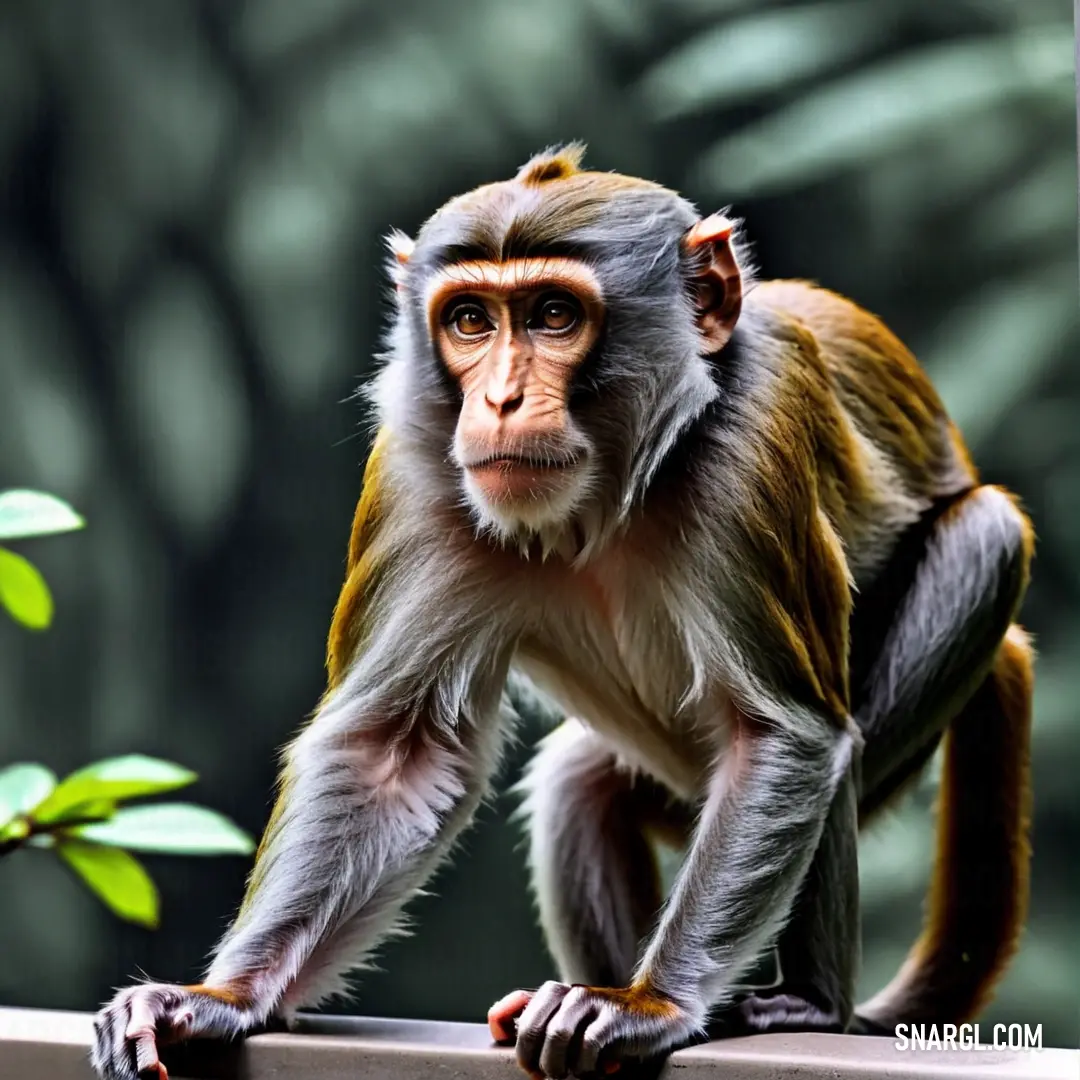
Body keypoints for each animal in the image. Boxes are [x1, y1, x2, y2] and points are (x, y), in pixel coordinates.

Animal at [92, 147, 1036, 1080]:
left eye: (553, 315)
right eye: (470, 321)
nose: (501, 401)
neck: (606, 498)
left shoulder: (751, 436)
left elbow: (783, 736)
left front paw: (648, 1006)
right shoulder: (419, 469)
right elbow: (391, 754)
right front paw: (223, 997)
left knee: (976, 547)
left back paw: (808, 1003)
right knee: (578, 788)